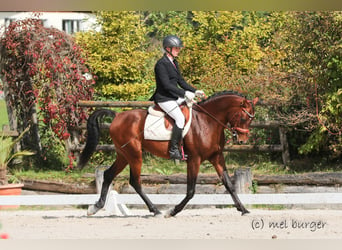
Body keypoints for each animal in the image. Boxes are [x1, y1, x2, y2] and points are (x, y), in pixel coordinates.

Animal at [77, 91, 258, 217]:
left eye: (251, 119)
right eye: (244, 118)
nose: (242, 140)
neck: (208, 122)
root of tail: (117, 116)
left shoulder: (216, 157)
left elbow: (229, 184)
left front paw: (243, 209)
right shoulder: (195, 159)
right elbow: (191, 190)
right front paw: (172, 211)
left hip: (123, 155)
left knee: (108, 174)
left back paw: (96, 207)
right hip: (134, 155)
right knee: (135, 181)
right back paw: (155, 210)